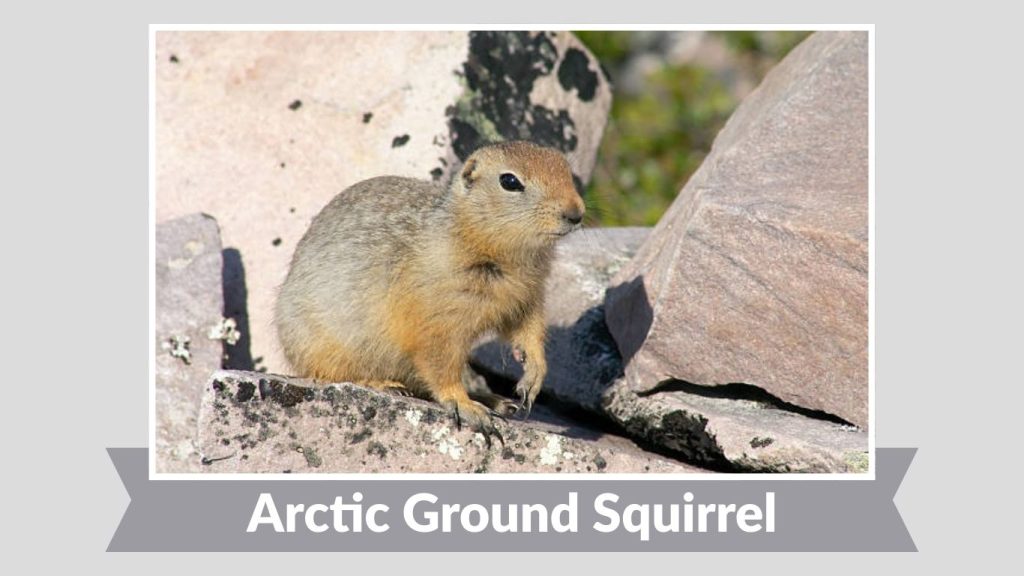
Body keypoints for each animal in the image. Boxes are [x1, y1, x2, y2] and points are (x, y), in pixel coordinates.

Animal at [274, 141, 585, 439]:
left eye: (566, 170)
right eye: (509, 181)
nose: (576, 214)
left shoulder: (529, 296)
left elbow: (529, 331)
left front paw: (532, 377)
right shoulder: (437, 317)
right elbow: (440, 362)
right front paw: (466, 406)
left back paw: (497, 400)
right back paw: (386, 384)